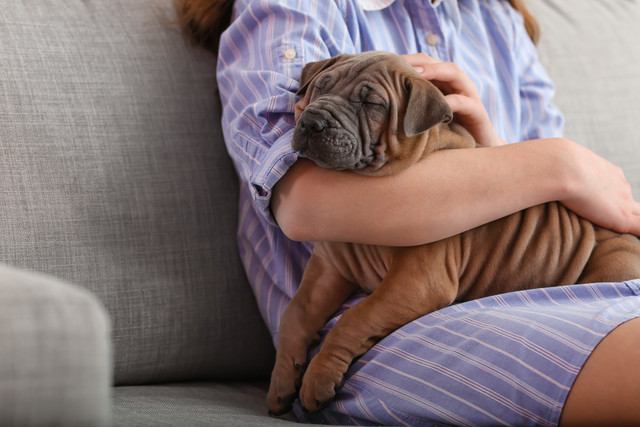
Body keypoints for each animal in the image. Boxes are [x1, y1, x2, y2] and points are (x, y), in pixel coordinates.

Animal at [266, 51, 640, 416]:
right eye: (320, 86)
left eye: (372, 104)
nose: (312, 121)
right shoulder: (329, 269)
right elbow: (296, 314)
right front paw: (282, 378)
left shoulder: (417, 283)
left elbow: (355, 318)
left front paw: (318, 377)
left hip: (614, 262)